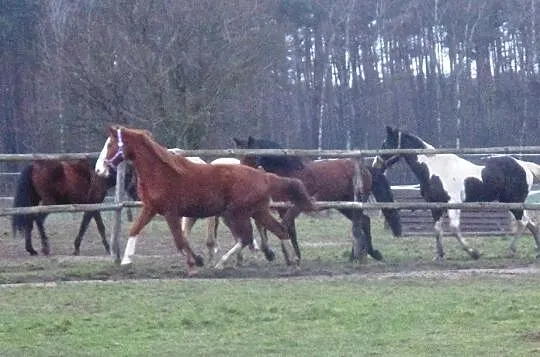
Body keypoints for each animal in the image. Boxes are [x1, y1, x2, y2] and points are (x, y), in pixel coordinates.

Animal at [92, 125, 312, 272]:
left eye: (110, 144)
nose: (99, 170)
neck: (162, 172)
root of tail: (263, 176)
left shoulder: (171, 212)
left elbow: (180, 240)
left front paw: (196, 261)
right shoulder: (151, 208)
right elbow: (135, 230)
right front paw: (126, 260)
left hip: (238, 214)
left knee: (249, 237)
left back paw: (225, 262)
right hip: (255, 211)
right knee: (277, 231)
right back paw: (291, 262)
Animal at [232, 136, 400, 262]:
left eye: (254, 156)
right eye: (240, 158)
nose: (244, 180)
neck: (288, 173)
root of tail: (366, 169)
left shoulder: (294, 208)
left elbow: (283, 227)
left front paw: (289, 256)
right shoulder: (280, 209)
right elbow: (280, 228)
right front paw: (282, 255)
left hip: (353, 203)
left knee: (360, 224)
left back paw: (364, 254)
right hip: (343, 206)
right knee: (364, 222)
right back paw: (363, 254)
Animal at [374, 125, 540, 258]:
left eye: (386, 143)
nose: (376, 164)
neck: (433, 169)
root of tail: (524, 165)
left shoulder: (453, 203)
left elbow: (453, 229)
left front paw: (474, 253)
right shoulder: (436, 205)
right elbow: (437, 229)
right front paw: (439, 255)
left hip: (513, 202)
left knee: (523, 222)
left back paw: (511, 250)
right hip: (512, 203)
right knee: (530, 223)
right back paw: (536, 251)